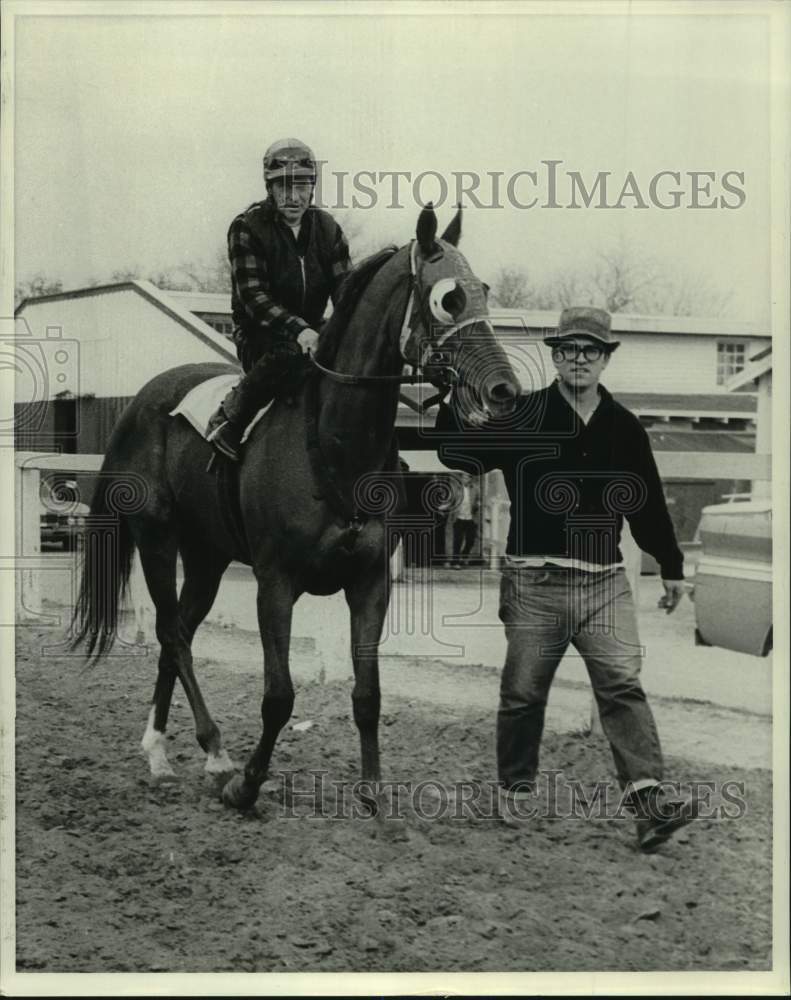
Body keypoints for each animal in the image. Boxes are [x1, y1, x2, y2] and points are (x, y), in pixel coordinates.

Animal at [72, 203, 520, 812]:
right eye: (447, 298)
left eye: (485, 292)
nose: (503, 390)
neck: (332, 442)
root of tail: (139, 403)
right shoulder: (276, 584)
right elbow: (278, 696)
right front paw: (246, 784)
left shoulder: (369, 582)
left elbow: (368, 694)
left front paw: (373, 793)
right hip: (158, 542)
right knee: (172, 635)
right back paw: (213, 753)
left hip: (208, 557)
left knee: (178, 634)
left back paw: (162, 751)